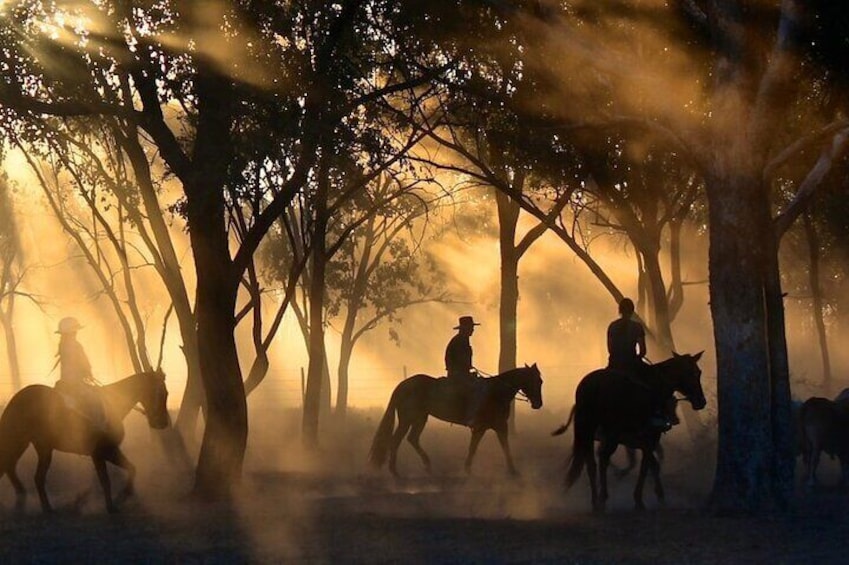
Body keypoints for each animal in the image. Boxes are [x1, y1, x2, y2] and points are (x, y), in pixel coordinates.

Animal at [0, 368, 171, 512]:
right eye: (161, 393)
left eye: (166, 393)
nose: (162, 423)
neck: (112, 404)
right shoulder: (101, 453)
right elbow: (106, 480)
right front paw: (111, 506)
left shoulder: (109, 451)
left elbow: (131, 468)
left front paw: (126, 492)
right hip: (30, 446)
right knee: (32, 475)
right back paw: (46, 508)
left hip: (30, 445)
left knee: (15, 468)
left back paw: (29, 497)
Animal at [366, 364, 544, 478]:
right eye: (536, 381)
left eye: (541, 381)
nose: (538, 404)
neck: (496, 392)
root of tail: (402, 385)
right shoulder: (496, 426)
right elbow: (502, 447)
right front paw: (513, 471)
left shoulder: (486, 428)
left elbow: (476, 447)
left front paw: (468, 469)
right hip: (407, 419)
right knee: (396, 440)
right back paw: (394, 471)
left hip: (420, 418)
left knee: (412, 439)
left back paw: (427, 465)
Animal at [552, 352, 704, 512]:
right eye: (692, 373)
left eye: (699, 372)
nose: (701, 401)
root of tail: (594, 384)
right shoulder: (650, 439)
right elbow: (646, 466)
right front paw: (641, 500)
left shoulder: (640, 442)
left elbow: (651, 465)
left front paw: (658, 496)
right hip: (611, 433)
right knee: (603, 458)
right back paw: (603, 497)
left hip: (588, 431)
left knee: (591, 463)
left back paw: (595, 501)